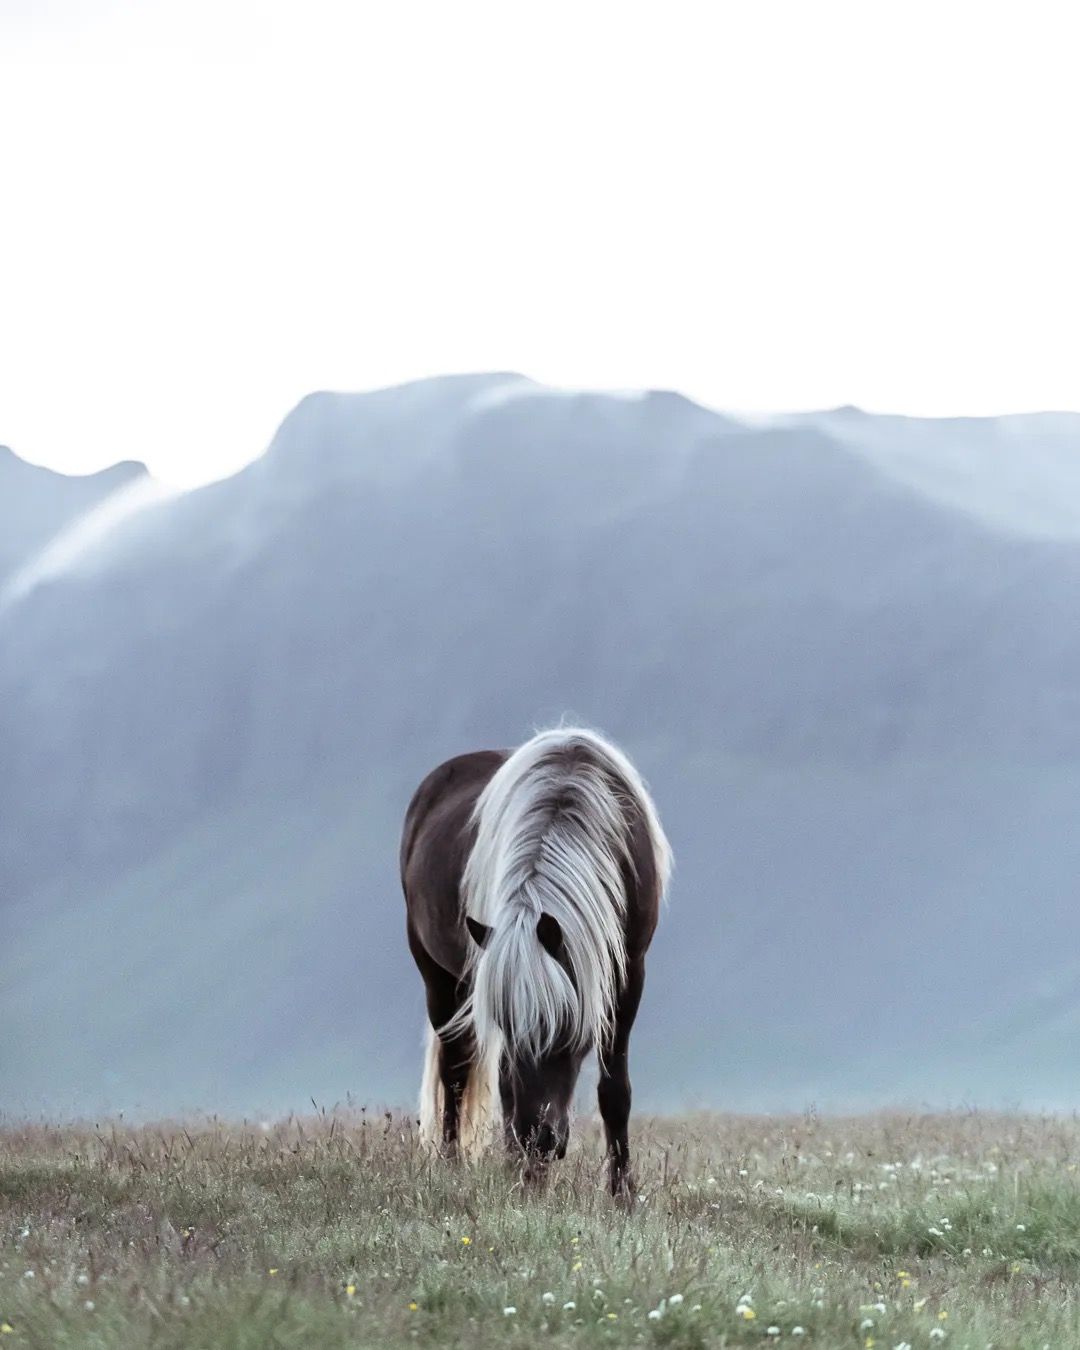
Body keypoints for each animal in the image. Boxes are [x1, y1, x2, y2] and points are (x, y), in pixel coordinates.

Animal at [400, 726, 671, 1196]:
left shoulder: (629, 972)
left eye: (566, 1030)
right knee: (455, 1072)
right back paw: (454, 1166)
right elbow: (501, 1087)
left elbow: (615, 1091)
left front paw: (622, 1194)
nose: (537, 1141)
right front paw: (526, 1182)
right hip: (438, 977)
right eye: (507, 1025)